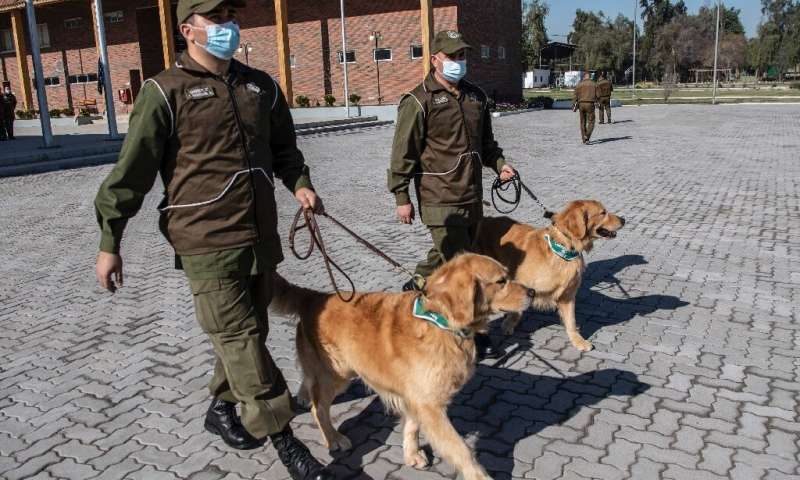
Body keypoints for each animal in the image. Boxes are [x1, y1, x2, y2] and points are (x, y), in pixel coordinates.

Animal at [270, 253, 536, 478]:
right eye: (501, 281)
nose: (533, 291)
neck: (440, 322)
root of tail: (314, 296)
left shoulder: (417, 396)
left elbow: (412, 426)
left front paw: (411, 453)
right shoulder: (431, 406)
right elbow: (461, 450)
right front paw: (479, 475)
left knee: (309, 381)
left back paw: (303, 395)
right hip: (336, 375)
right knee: (319, 408)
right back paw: (332, 437)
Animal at [476, 200, 624, 352]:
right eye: (603, 213)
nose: (623, 220)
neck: (562, 249)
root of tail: (485, 219)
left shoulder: (567, 295)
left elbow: (571, 321)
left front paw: (578, 340)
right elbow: (517, 310)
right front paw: (509, 324)